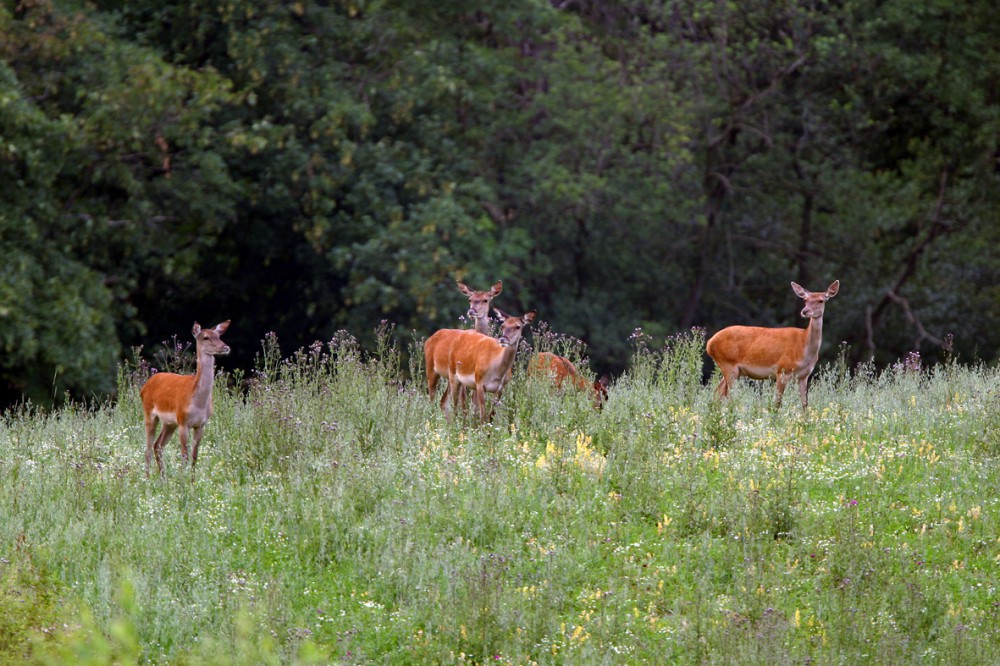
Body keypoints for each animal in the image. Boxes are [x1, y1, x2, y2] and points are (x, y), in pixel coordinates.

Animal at [141, 320, 230, 472]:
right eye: (206, 337)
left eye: (218, 336)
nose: (225, 347)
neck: (198, 402)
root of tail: (143, 387)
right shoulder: (183, 422)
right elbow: (184, 456)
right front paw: (182, 478)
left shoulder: (201, 424)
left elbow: (194, 458)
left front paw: (192, 478)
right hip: (150, 414)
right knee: (147, 450)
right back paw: (148, 477)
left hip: (169, 423)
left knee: (157, 445)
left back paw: (163, 476)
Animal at [708, 278, 840, 408]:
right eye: (805, 300)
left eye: (821, 300)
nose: (805, 311)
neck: (803, 348)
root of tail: (709, 343)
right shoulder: (782, 370)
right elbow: (777, 403)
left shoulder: (804, 376)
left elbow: (805, 404)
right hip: (728, 364)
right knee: (728, 395)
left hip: (732, 369)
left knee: (718, 392)